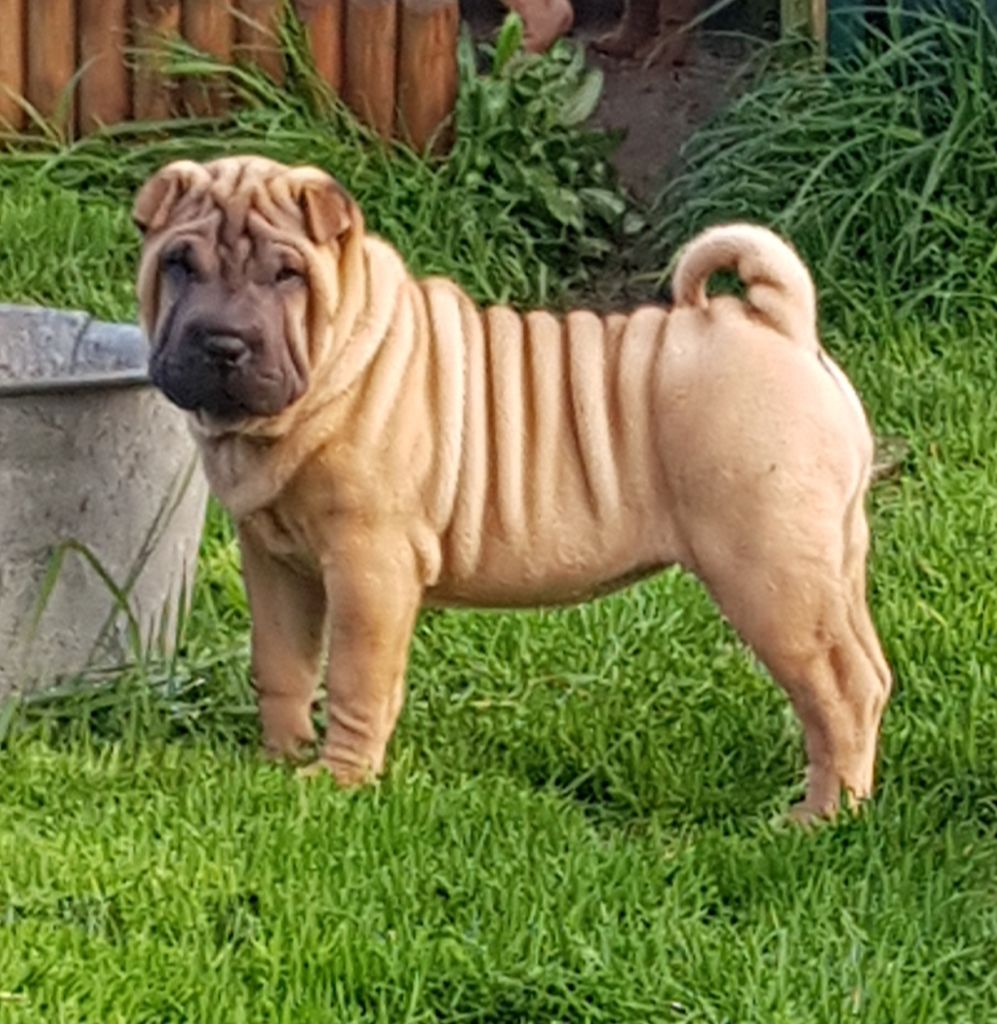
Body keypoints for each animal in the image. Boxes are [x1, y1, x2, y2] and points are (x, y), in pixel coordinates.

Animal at [133, 155, 888, 819]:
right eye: (179, 265)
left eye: (287, 274)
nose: (222, 343)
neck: (337, 358)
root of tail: (778, 323)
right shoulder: (277, 562)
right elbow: (282, 663)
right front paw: (279, 761)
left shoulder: (367, 568)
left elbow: (354, 675)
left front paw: (340, 780)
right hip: (828, 562)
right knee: (870, 675)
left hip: (769, 570)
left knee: (838, 690)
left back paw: (822, 816)